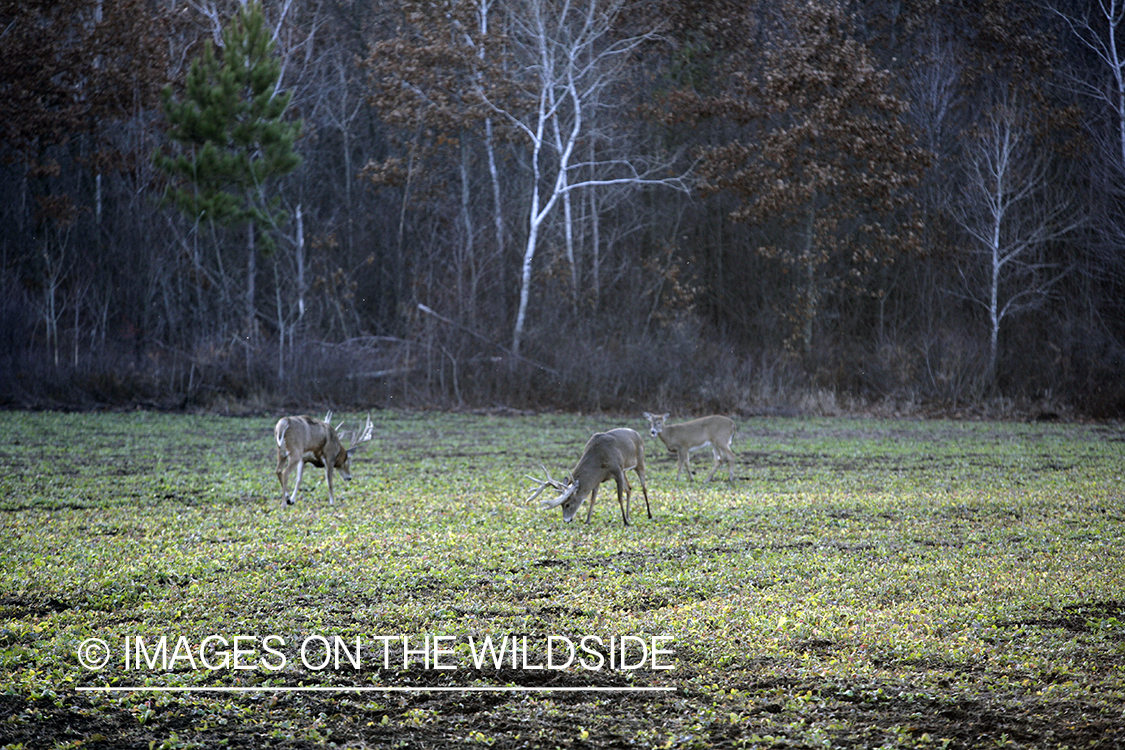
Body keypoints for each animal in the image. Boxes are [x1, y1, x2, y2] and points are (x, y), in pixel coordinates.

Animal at [528, 427, 657, 528]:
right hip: (625, 470)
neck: (599, 460)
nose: (566, 520)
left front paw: (625, 523)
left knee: (644, 488)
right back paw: (629, 516)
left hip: (640, 462)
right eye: (561, 505)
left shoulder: (617, 470)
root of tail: (637, 434)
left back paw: (649, 515)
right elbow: (592, 499)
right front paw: (587, 521)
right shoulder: (598, 479)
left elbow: (619, 497)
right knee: (629, 488)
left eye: (568, 504)